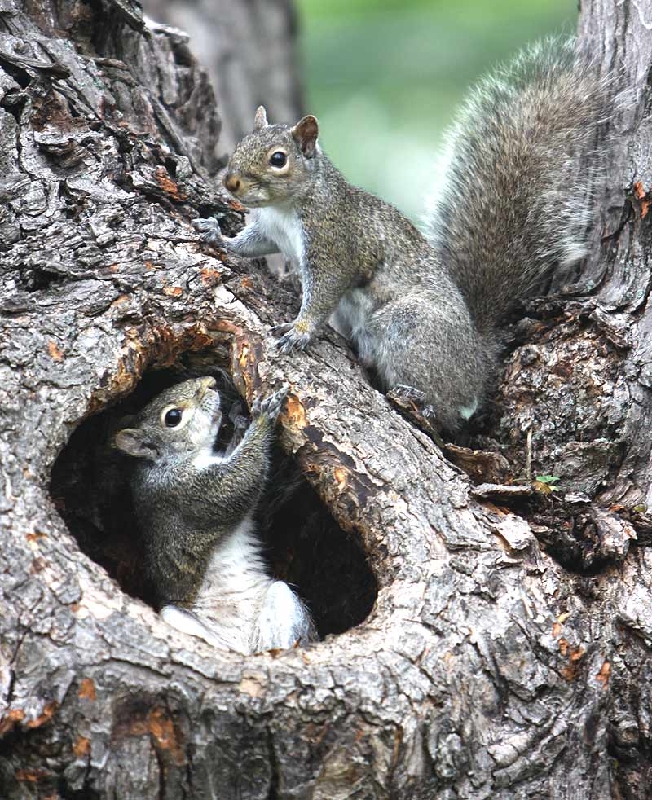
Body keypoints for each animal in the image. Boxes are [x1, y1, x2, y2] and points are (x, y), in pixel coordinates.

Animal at [115, 378, 318, 652]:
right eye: (172, 417)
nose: (210, 382)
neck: (165, 463)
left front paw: (240, 421)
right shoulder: (187, 491)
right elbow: (240, 480)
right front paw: (263, 418)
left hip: (281, 601)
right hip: (174, 616)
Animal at [194, 36, 616, 434]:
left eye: (278, 159)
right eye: (240, 144)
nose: (230, 182)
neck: (286, 207)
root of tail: (476, 362)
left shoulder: (334, 240)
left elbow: (325, 290)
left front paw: (299, 331)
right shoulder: (271, 231)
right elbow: (251, 244)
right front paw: (216, 234)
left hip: (409, 329)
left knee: (450, 412)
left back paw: (424, 403)